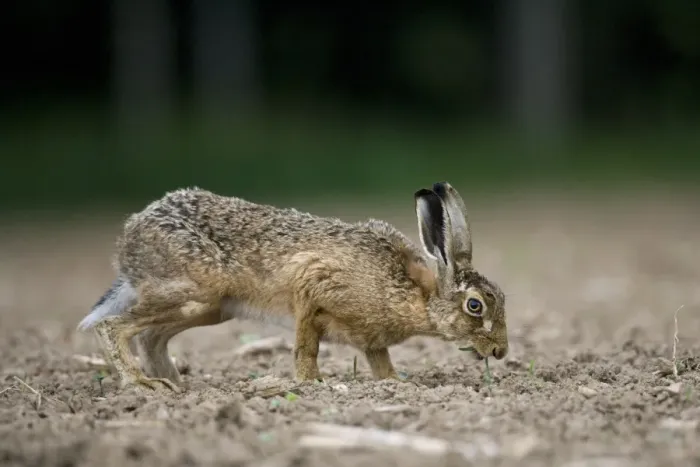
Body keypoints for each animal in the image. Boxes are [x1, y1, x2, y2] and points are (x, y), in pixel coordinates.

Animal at [77, 181, 508, 393]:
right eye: (475, 306)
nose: (501, 352)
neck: (414, 292)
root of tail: (129, 241)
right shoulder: (312, 289)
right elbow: (307, 346)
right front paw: (312, 383)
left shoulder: (372, 340)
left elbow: (380, 361)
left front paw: (395, 384)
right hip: (195, 292)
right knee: (112, 327)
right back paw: (143, 384)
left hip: (211, 307)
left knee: (150, 337)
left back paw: (179, 384)